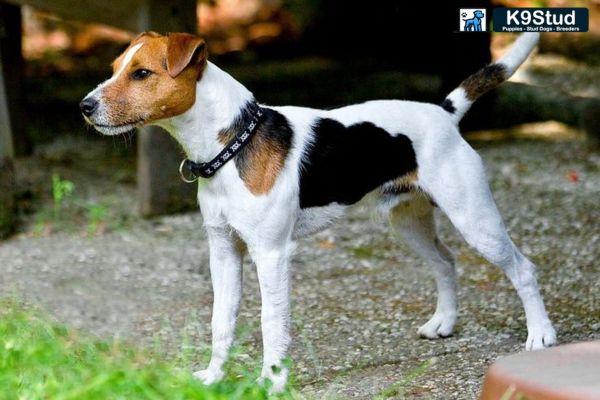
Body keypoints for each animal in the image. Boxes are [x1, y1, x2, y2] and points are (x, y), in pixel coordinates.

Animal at [82, 32, 556, 392]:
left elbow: (271, 323)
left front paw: (272, 383)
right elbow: (221, 321)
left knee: (523, 268)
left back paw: (541, 335)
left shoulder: (271, 254)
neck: (233, 142)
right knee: (445, 261)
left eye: (142, 73)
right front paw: (215, 378)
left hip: (475, 219)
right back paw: (443, 323)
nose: (85, 106)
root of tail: (445, 112)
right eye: (115, 67)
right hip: (408, 222)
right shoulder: (224, 249)